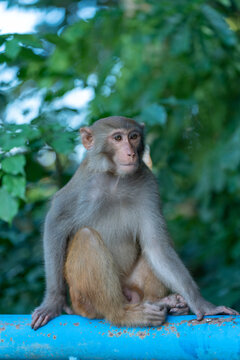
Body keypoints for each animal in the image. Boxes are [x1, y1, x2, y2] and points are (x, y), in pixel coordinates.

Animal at [31, 116, 238, 330]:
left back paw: (166, 303)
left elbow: (156, 247)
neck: (116, 179)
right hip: (81, 300)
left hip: (132, 288)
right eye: (117, 138)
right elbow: (54, 223)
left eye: (133, 137)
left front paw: (202, 305)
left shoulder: (148, 184)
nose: (130, 153)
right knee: (87, 238)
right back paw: (122, 314)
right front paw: (53, 301)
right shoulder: (82, 184)